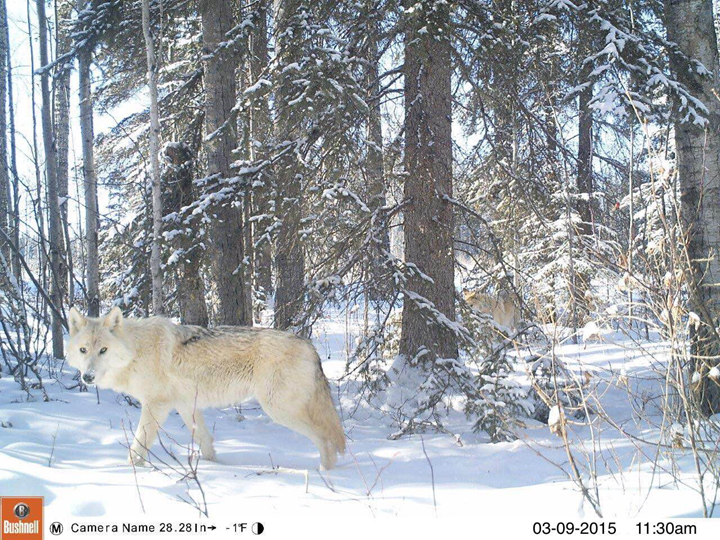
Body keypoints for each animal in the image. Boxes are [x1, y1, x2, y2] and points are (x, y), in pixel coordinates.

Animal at [67, 308, 346, 468]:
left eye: (103, 350)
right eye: (83, 350)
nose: (88, 377)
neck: (135, 351)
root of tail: (308, 344)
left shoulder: (156, 405)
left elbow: (140, 440)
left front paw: (132, 466)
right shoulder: (184, 404)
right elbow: (204, 439)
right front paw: (215, 465)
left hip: (279, 410)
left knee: (325, 438)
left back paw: (326, 474)